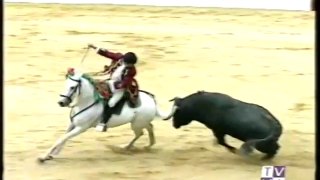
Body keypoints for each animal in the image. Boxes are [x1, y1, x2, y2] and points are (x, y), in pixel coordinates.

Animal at [37, 68, 168, 163]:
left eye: (72, 87)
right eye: (65, 85)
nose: (61, 102)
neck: (86, 102)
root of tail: (152, 100)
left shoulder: (81, 128)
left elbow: (62, 138)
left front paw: (43, 157)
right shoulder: (73, 124)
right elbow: (63, 138)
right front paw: (52, 154)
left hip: (136, 124)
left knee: (140, 133)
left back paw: (126, 147)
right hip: (140, 122)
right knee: (149, 128)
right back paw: (147, 145)